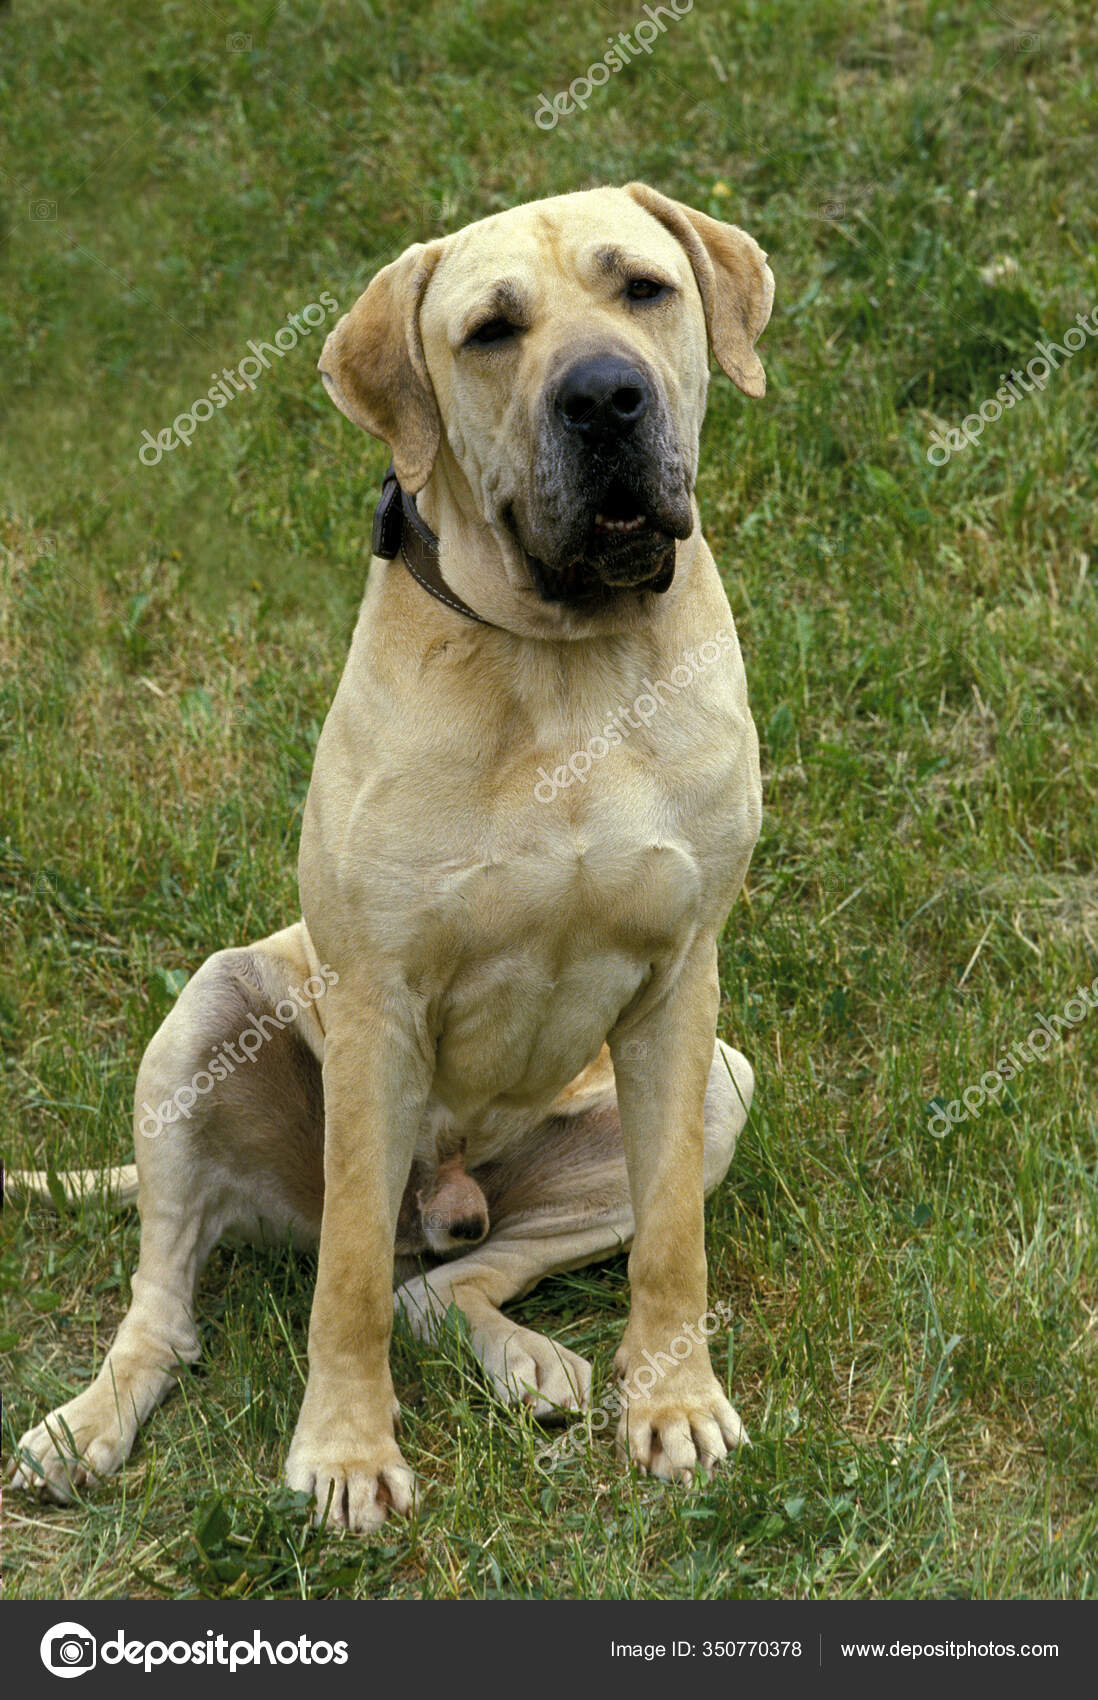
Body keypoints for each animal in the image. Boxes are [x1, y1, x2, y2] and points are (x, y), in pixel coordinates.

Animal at [12, 182, 778, 1530]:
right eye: (491, 331)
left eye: (643, 288)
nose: (604, 396)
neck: (560, 657)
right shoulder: (376, 1007)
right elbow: (350, 1281)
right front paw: (344, 1450)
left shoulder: (683, 984)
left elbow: (673, 1243)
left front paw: (676, 1400)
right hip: (208, 1018)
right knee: (179, 1305)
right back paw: (85, 1422)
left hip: (712, 1088)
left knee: (440, 1284)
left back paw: (530, 1359)